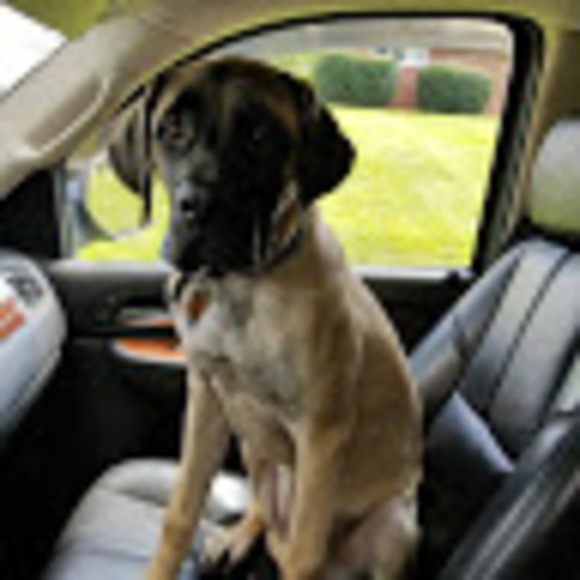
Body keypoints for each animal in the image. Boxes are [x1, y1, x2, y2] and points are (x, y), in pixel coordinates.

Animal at [109, 57, 422, 580]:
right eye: (171, 129)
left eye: (259, 136)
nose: (201, 207)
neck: (237, 287)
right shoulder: (207, 397)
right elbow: (179, 513)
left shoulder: (320, 431)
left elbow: (303, 554)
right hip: (254, 446)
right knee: (263, 510)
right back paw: (238, 535)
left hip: (396, 524)